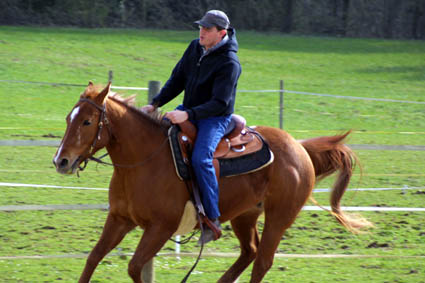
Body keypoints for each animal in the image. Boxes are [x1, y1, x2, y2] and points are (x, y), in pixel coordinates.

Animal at [53, 82, 370, 283]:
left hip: (280, 217)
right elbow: (93, 258)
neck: (143, 161)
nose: (61, 161)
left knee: (262, 262)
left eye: (87, 122)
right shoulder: (120, 219)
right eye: (69, 117)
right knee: (249, 252)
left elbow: (134, 266)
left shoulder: (160, 228)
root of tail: (299, 147)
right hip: (245, 215)